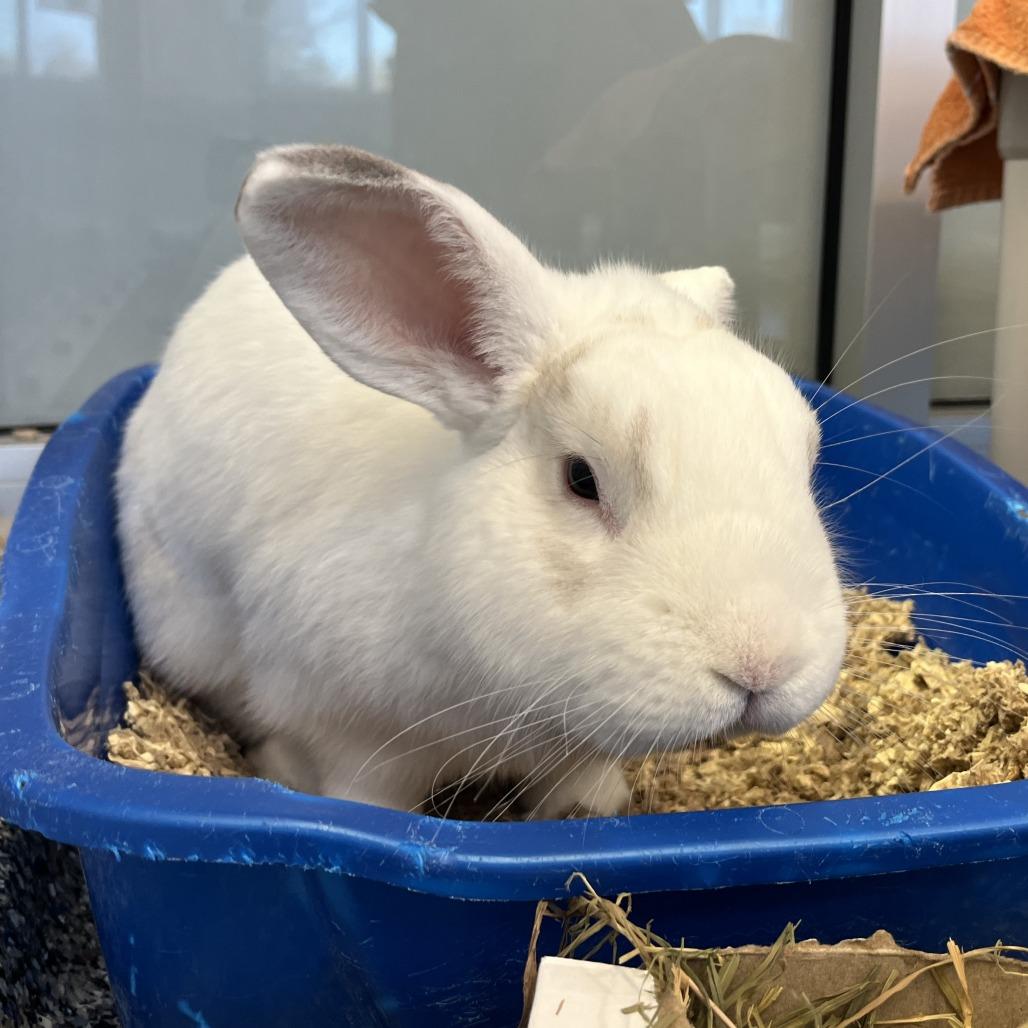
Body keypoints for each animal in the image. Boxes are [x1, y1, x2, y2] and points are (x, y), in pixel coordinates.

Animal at [115, 144, 848, 820]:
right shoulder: (346, 733)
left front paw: (591, 808)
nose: (762, 665)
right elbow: (355, 789)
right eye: (581, 478)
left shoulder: (573, 752)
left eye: (806, 451)